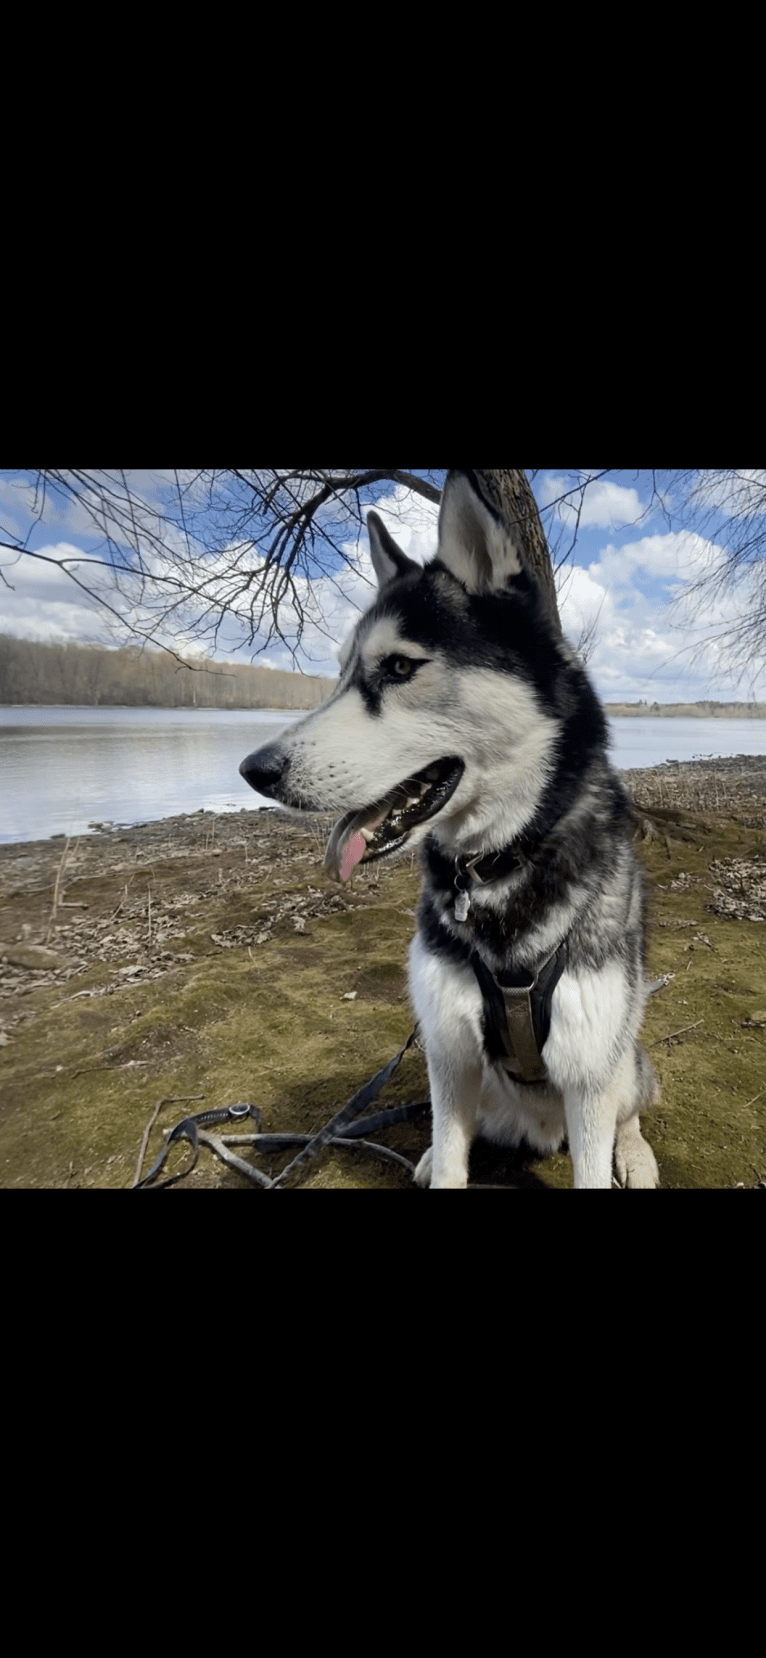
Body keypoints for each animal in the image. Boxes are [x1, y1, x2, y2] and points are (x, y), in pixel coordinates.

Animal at [238, 470, 659, 1193]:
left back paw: (634, 1153)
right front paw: (442, 1159)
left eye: (400, 668)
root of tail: (537, 1130)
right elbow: (453, 1152)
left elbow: (598, 1143)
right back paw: (435, 1152)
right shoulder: (448, 1047)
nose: (253, 771)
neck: (497, 866)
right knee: (451, 1128)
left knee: (629, 1106)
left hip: (621, 1054)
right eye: (341, 672)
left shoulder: (588, 1068)